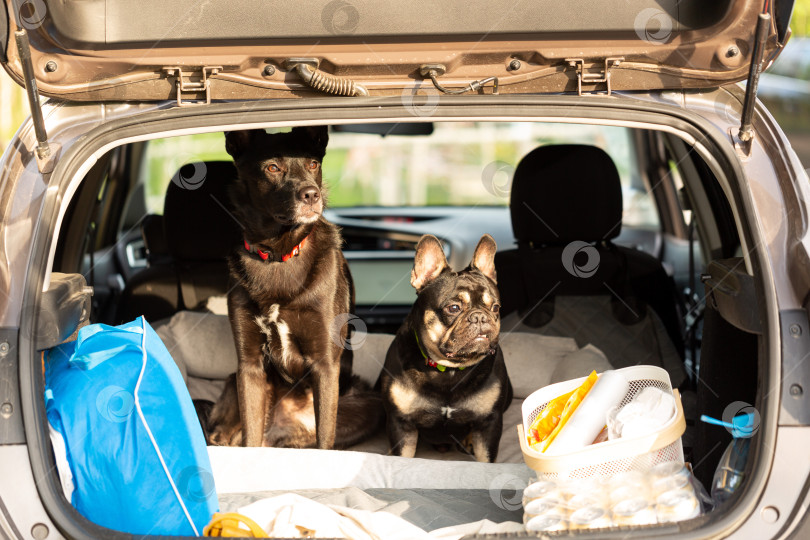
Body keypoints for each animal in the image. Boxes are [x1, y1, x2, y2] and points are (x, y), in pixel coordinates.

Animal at [207, 125, 380, 448]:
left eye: (313, 164)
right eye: (273, 168)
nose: (311, 195)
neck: (278, 253)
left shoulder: (325, 366)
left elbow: (325, 440)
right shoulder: (249, 367)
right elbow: (249, 439)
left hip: (367, 404)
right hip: (233, 382)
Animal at [378, 234, 512, 462]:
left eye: (495, 308)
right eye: (454, 308)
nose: (480, 316)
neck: (448, 370)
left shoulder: (489, 425)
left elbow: (486, 459)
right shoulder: (401, 424)